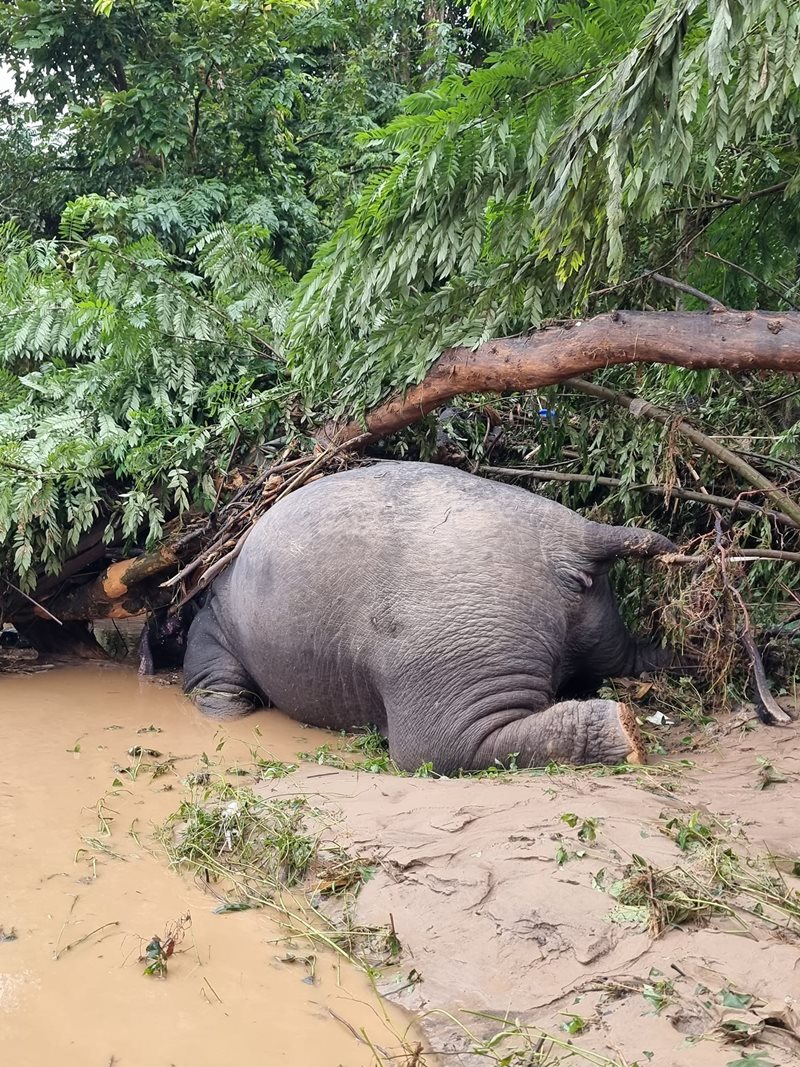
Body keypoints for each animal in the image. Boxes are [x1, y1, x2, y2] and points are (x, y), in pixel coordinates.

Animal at [183, 463, 682, 772]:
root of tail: (573, 537)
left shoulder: (212, 628)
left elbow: (217, 686)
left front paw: (221, 710)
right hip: (594, 624)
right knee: (628, 658)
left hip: (452, 662)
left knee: (451, 746)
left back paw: (622, 730)